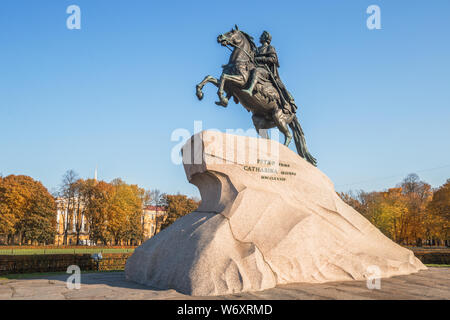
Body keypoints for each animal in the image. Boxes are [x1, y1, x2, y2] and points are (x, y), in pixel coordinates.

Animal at [194, 26, 316, 166]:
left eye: (231, 32)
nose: (220, 37)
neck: (240, 61)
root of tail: (293, 112)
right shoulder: (228, 85)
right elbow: (210, 78)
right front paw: (200, 93)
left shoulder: (240, 81)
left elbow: (224, 77)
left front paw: (223, 99)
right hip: (260, 122)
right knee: (268, 138)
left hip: (279, 118)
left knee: (288, 135)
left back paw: (283, 152)